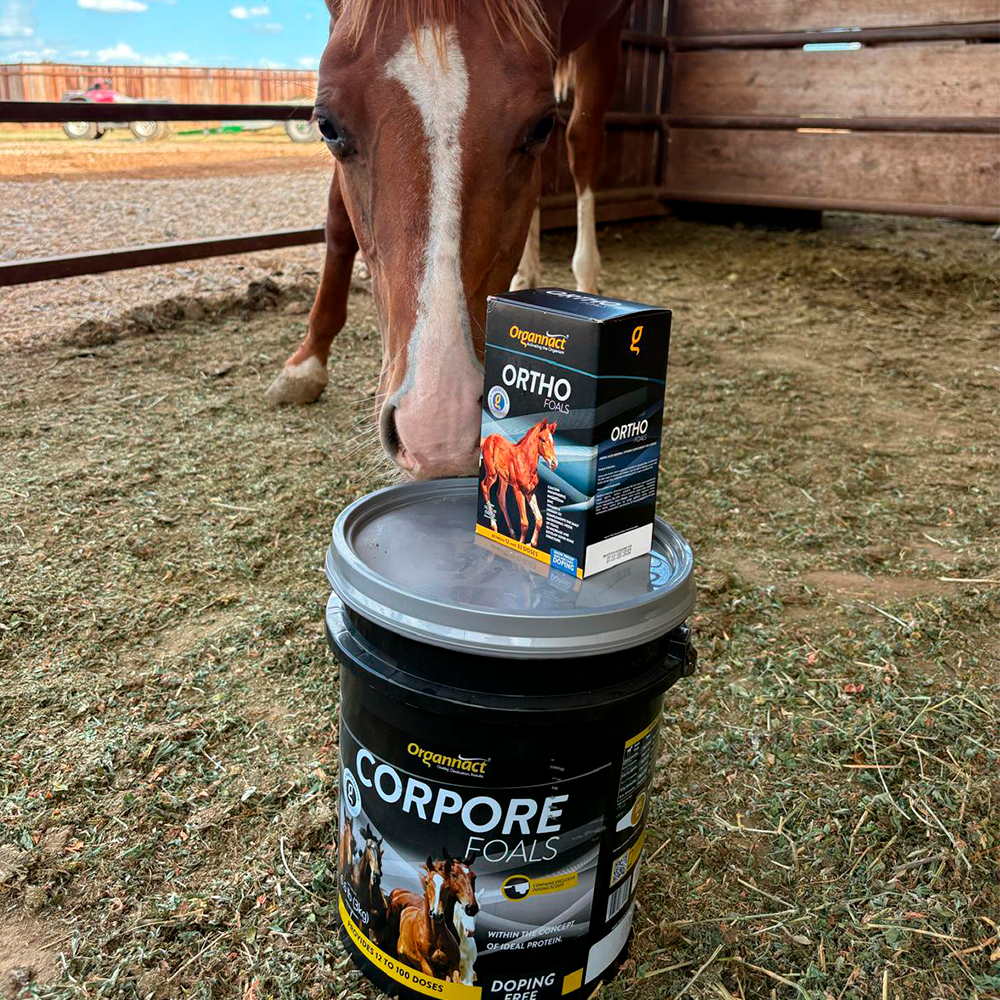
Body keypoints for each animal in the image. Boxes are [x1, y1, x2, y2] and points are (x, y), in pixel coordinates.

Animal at [266, 0, 632, 481]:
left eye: (539, 127)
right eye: (326, 125)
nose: (439, 429)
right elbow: (337, 221)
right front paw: (307, 360)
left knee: (582, 143)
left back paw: (585, 275)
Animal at [480, 418, 557, 547]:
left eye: (554, 442)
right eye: (542, 440)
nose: (554, 463)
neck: (525, 461)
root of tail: (487, 439)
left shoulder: (530, 492)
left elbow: (539, 519)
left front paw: (531, 544)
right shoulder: (518, 490)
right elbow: (524, 522)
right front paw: (521, 544)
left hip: (503, 479)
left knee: (500, 497)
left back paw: (512, 533)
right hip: (492, 474)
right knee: (484, 486)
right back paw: (494, 526)